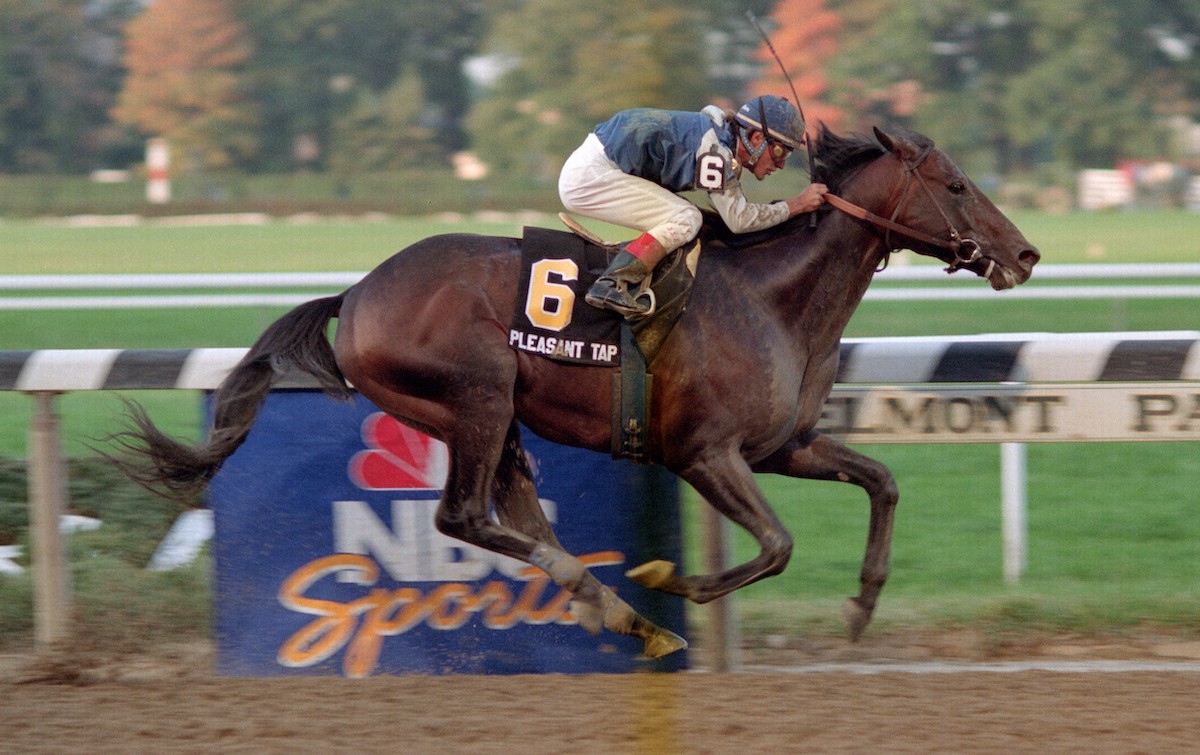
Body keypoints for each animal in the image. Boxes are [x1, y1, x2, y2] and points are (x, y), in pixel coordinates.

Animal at [121, 126, 1041, 657]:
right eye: (956, 185)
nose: (1026, 255)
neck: (771, 298)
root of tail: (358, 291)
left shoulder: (782, 446)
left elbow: (883, 481)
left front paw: (861, 605)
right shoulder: (706, 453)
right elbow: (778, 544)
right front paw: (678, 580)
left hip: (492, 418)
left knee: (516, 513)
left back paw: (617, 610)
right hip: (476, 397)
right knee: (464, 516)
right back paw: (624, 604)